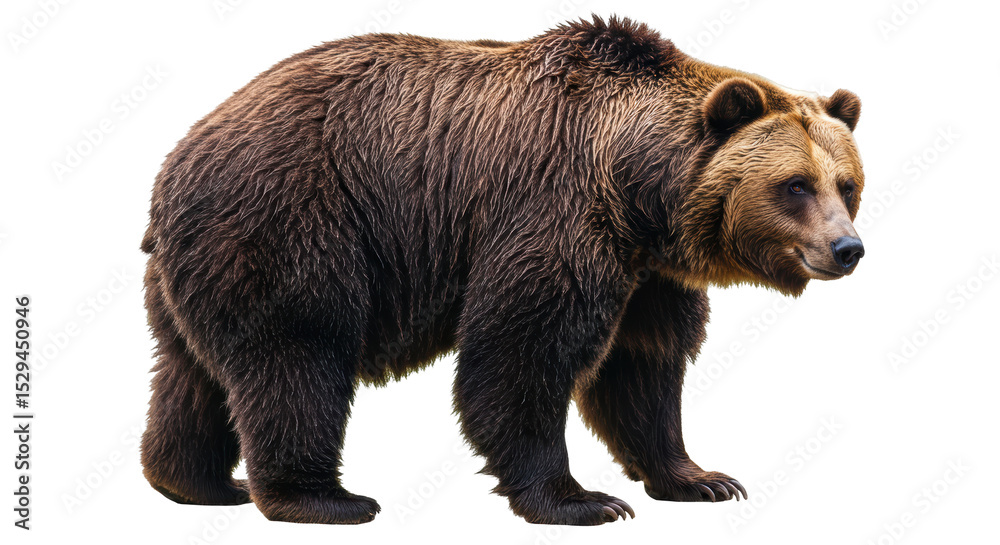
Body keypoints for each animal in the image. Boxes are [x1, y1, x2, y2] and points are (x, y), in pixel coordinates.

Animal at [140, 15, 865, 526]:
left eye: (848, 184)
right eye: (795, 185)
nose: (847, 248)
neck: (637, 190)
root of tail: (177, 159)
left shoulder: (648, 275)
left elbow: (642, 366)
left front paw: (701, 478)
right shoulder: (555, 209)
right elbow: (521, 350)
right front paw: (581, 499)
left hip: (192, 265)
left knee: (188, 371)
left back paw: (199, 482)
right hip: (294, 221)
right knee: (298, 353)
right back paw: (323, 497)